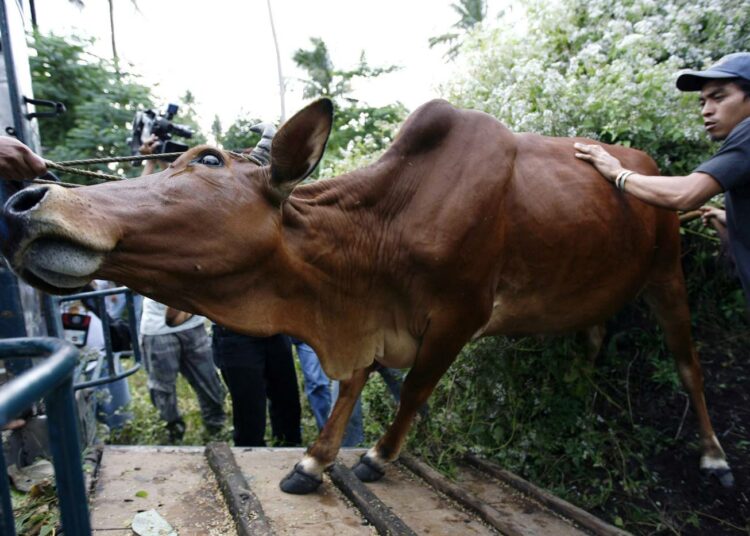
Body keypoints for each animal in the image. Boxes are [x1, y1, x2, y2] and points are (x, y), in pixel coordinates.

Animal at [0, 98, 736, 492]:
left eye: (207, 159)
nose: (26, 201)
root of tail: (644, 163)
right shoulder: (367, 325)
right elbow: (353, 383)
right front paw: (311, 461)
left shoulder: (460, 315)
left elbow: (410, 391)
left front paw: (377, 456)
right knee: (592, 339)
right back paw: (580, 400)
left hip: (668, 275)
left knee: (689, 365)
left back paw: (714, 455)